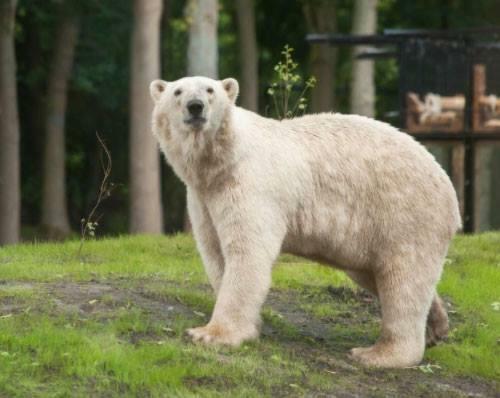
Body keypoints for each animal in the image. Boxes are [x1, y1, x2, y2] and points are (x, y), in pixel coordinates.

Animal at [149, 76, 460, 368]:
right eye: (178, 92)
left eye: (209, 90)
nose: (195, 106)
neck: (222, 159)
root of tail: (448, 187)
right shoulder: (203, 196)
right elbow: (215, 254)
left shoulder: (250, 184)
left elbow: (247, 253)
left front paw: (210, 334)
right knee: (376, 274)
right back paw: (436, 326)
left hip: (405, 214)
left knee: (403, 280)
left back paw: (378, 353)